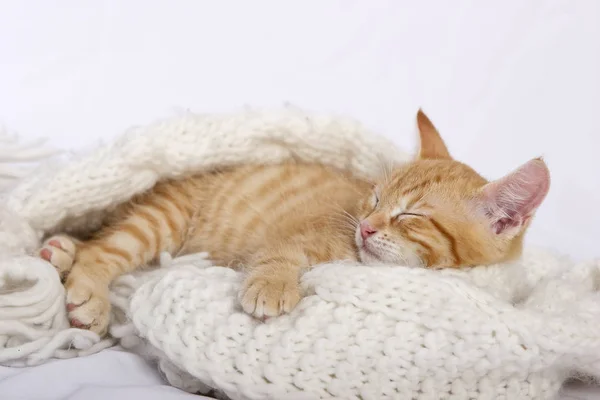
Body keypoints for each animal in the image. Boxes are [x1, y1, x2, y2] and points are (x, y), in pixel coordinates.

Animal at [39, 110, 552, 338]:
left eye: (410, 215)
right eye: (375, 197)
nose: (366, 227)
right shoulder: (299, 237)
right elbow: (278, 255)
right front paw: (271, 285)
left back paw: (57, 251)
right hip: (160, 220)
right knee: (103, 247)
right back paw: (88, 293)